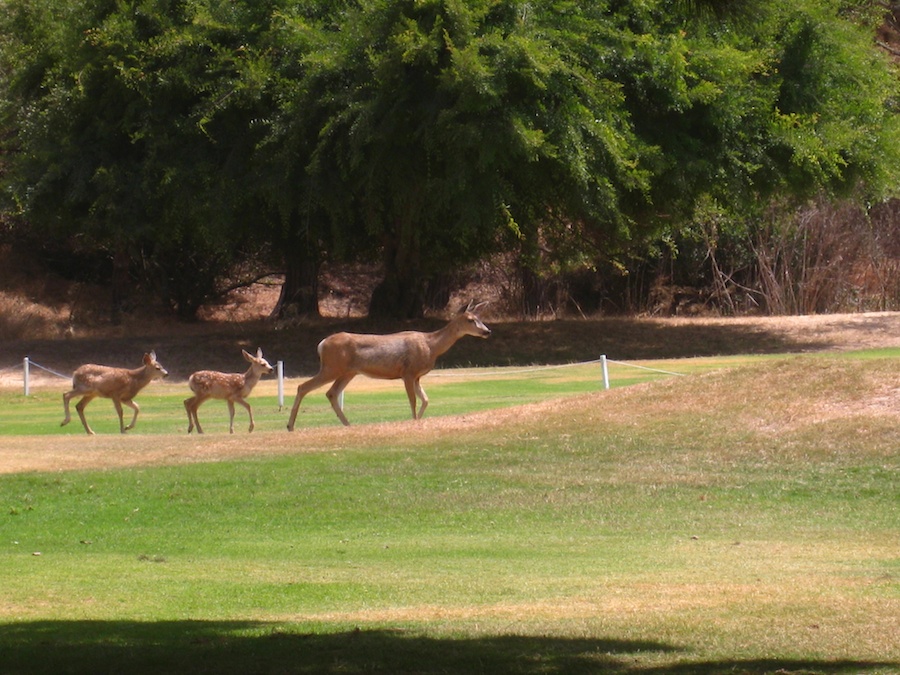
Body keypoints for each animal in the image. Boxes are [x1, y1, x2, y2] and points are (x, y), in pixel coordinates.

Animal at [286, 302, 492, 428]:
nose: (487, 331)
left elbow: (426, 399)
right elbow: (413, 400)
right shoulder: (408, 372)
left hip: (348, 372)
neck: (431, 345)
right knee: (303, 386)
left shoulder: (417, 376)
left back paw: (348, 424)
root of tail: (321, 344)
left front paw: (418, 420)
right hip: (332, 367)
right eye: (470, 320)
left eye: (480, 318)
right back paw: (290, 426)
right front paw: (413, 420)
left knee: (331, 393)